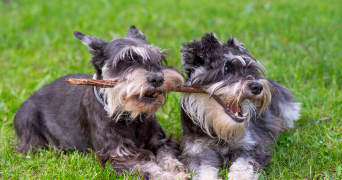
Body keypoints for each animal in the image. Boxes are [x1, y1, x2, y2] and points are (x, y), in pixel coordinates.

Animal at [14, 25, 188, 180]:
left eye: (159, 57)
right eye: (127, 57)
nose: (157, 78)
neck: (128, 116)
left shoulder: (161, 141)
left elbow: (167, 156)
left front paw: (178, 169)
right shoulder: (118, 155)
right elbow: (148, 167)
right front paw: (169, 176)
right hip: (28, 123)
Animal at [178, 33, 300, 179]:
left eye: (251, 69)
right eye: (227, 68)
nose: (258, 87)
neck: (219, 131)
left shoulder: (251, 147)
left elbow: (242, 167)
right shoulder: (198, 153)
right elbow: (204, 172)